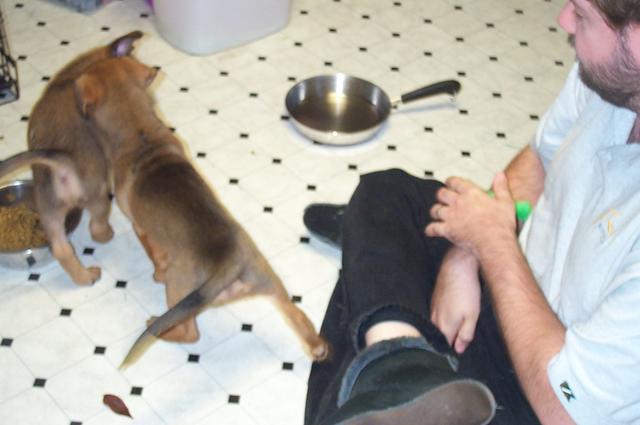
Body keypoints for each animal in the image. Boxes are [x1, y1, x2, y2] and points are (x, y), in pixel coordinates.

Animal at [0, 31, 144, 284]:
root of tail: (61, 161)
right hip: (98, 196)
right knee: (96, 228)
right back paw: (105, 238)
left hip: (49, 210)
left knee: (61, 249)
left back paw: (85, 277)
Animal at [72, 56, 329, 365]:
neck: (141, 135)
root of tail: (229, 264)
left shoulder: (139, 227)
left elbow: (154, 255)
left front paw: (155, 273)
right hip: (269, 280)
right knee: (298, 316)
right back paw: (316, 346)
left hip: (179, 289)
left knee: (189, 334)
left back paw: (157, 326)